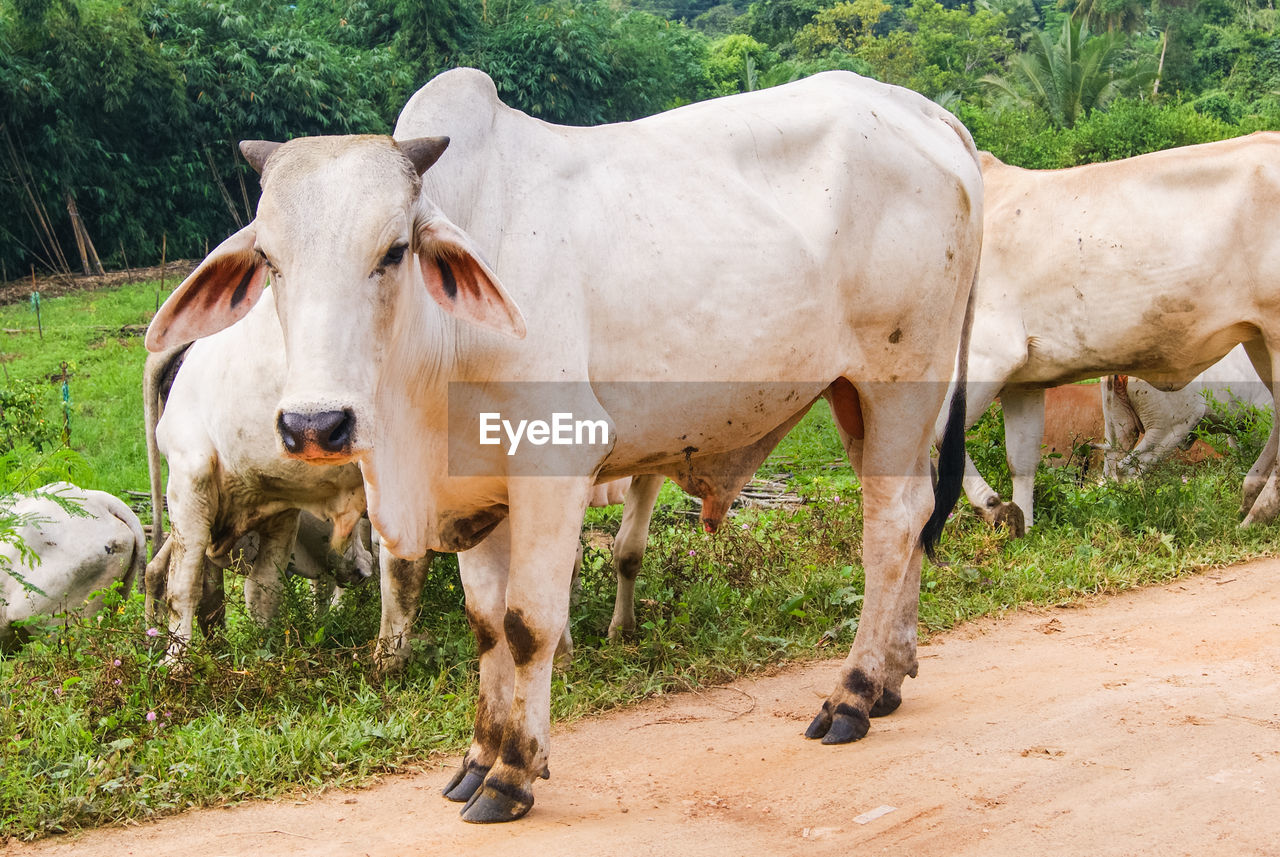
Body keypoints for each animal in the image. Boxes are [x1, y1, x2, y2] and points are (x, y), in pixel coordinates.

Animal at [145, 72, 977, 823]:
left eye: (392, 250)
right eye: (270, 260)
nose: (315, 425)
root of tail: (920, 110)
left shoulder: (553, 463)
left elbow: (528, 623)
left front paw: (514, 772)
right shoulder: (476, 488)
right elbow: (485, 626)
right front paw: (476, 758)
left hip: (900, 382)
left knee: (890, 524)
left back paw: (855, 692)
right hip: (856, 398)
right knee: (916, 512)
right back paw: (894, 674)